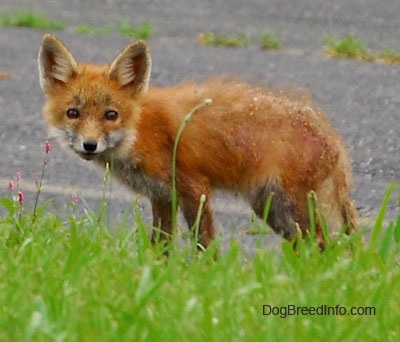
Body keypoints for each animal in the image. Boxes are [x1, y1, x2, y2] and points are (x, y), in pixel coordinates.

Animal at [36, 34, 356, 248]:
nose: (89, 145)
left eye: (110, 115)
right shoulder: (162, 196)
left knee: (326, 247)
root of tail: (331, 134)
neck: (140, 131)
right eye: (73, 113)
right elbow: (161, 246)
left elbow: (204, 244)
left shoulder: (195, 188)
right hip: (273, 210)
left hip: (292, 207)